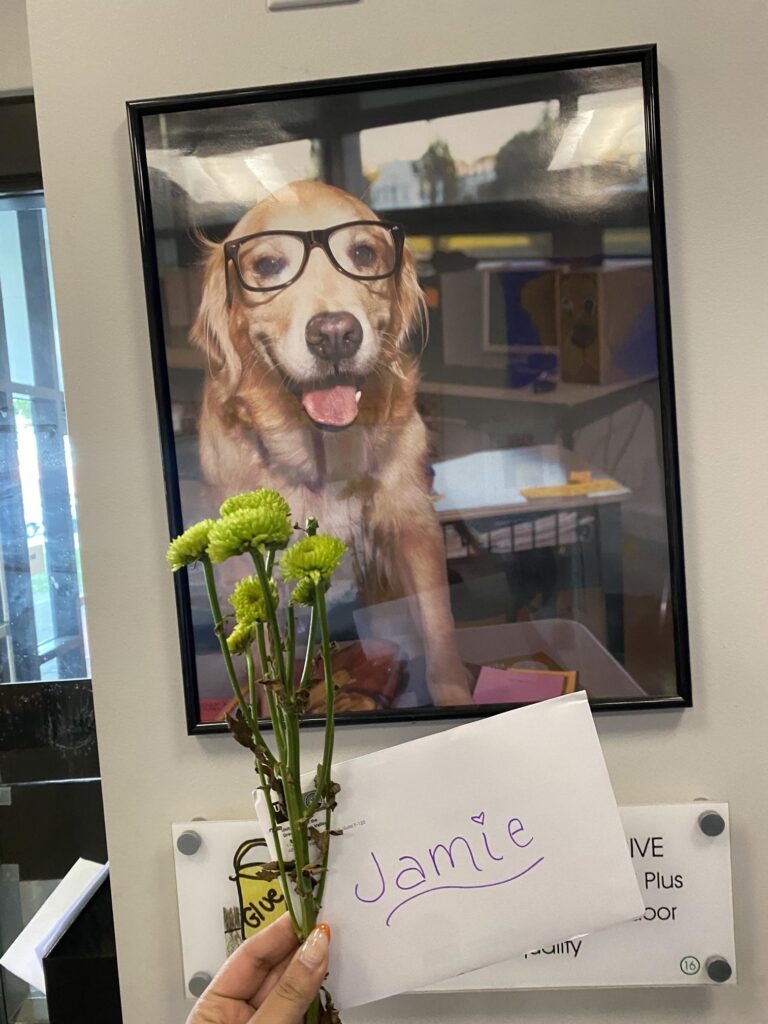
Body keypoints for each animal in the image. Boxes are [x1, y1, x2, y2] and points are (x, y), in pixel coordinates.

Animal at [190, 180, 473, 704]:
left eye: (363, 254)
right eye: (267, 265)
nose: (335, 334)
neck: (323, 453)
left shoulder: (413, 525)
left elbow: (440, 637)